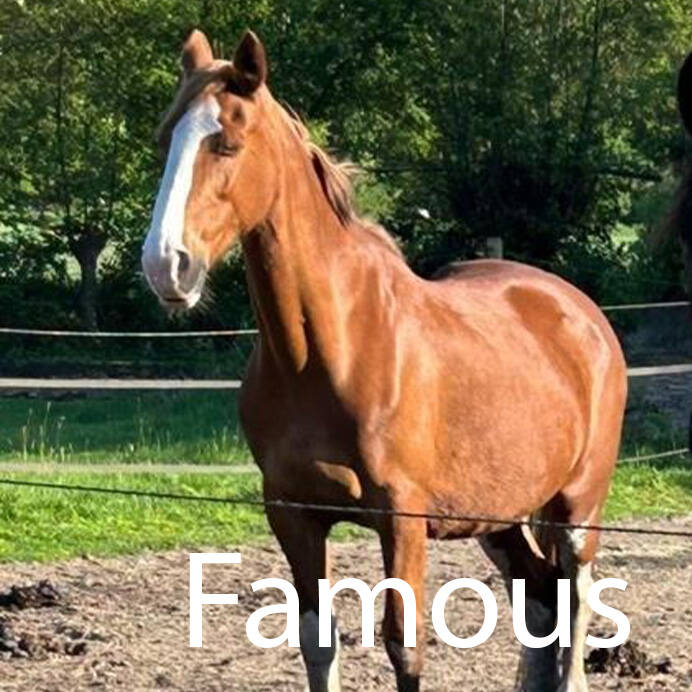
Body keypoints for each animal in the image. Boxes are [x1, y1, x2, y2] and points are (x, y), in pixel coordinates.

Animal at [141, 29, 627, 692]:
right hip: (498, 517)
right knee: (540, 602)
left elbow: (405, 646)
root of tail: (583, 314)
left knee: (573, 607)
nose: (166, 265)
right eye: (165, 139)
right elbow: (317, 639)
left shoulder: (402, 519)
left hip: (577, 509)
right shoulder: (292, 514)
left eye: (228, 142)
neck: (330, 352)